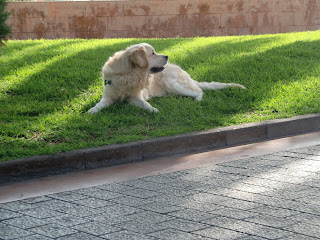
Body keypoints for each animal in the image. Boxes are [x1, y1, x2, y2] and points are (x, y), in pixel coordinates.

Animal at [87, 43, 245, 113]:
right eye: (153, 53)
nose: (167, 56)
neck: (129, 74)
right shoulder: (108, 96)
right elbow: (99, 104)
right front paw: (91, 111)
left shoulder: (136, 97)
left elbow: (146, 105)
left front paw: (154, 110)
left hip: (171, 82)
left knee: (199, 91)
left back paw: (197, 99)